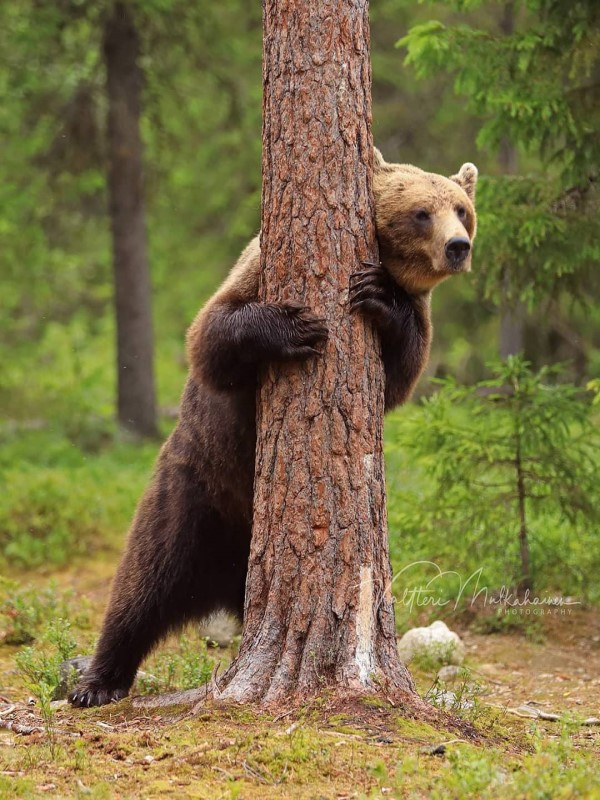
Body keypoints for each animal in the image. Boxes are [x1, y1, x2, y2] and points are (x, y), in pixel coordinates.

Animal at [68, 150, 476, 708]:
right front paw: (295, 327)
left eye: (461, 208)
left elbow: (398, 373)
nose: (458, 246)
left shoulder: (411, 319)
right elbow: (211, 336)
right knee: (141, 586)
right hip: (191, 493)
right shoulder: (253, 273)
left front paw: (377, 294)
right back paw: (97, 682)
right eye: (421, 212)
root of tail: (226, 582)